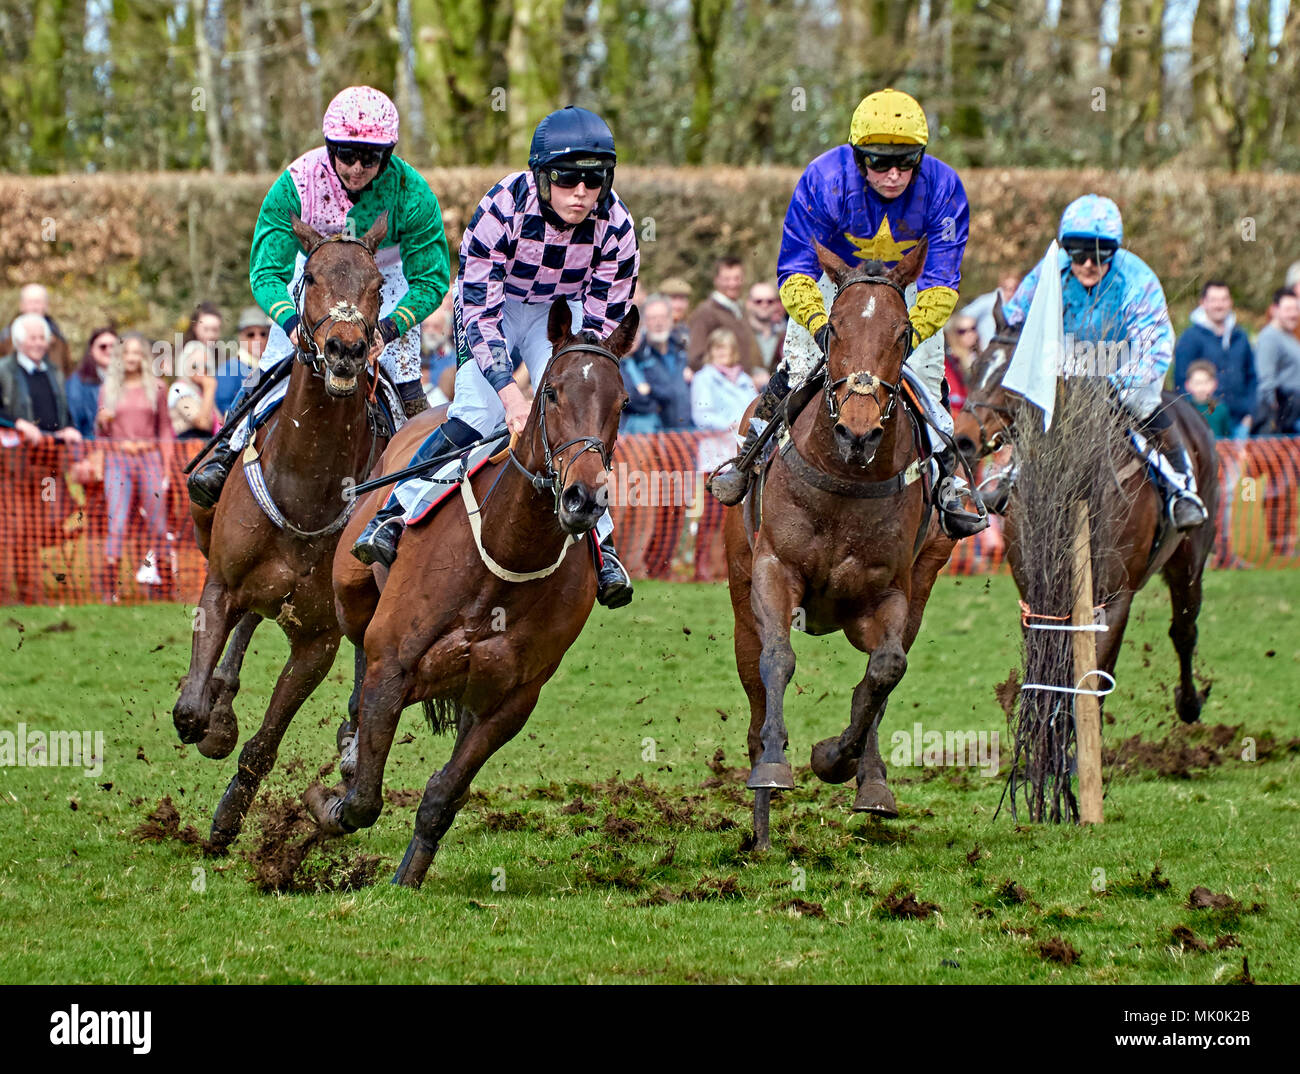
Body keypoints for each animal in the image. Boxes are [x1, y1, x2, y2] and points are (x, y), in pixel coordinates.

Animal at [175, 211, 392, 847]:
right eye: (311, 277)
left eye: (377, 286)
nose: (346, 349)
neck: (307, 487)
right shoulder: (220, 585)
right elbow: (190, 708)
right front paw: (209, 716)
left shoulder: (318, 638)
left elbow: (265, 743)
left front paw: (228, 816)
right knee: (245, 622)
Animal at [305, 297, 639, 884]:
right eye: (552, 392)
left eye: (621, 402)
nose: (583, 498)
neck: (505, 552)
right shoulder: (394, 662)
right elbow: (364, 797)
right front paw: (329, 801)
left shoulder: (509, 699)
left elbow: (443, 796)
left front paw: (408, 877)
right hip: (351, 592)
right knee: (357, 653)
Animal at [728, 237, 961, 847]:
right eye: (832, 328)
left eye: (903, 333)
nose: (858, 433)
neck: (847, 478)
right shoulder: (773, 570)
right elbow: (778, 658)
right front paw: (774, 767)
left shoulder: (888, 593)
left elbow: (885, 671)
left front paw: (837, 759)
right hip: (740, 593)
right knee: (755, 686)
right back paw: (761, 821)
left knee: (882, 675)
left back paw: (870, 781)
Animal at [956, 297, 1216, 722]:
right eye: (976, 366)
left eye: (1015, 374)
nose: (962, 439)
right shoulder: (1037, 594)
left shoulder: (1113, 598)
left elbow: (1093, 677)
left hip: (1190, 559)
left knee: (1184, 628)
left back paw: (1190, 703)